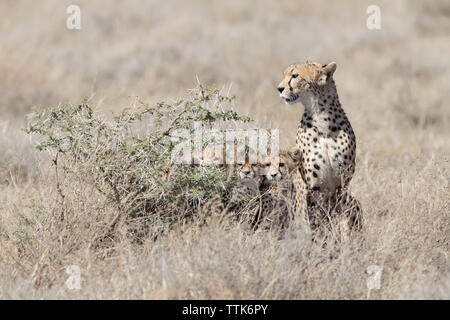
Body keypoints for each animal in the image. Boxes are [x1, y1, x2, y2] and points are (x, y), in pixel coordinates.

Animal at [278, 61, 362, 235]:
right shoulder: (313, 186)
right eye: (285, 74)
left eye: (294, 75)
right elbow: (317, 221)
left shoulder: (341, 183)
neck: (322, 118)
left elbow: (339, 216)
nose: (279, 88)